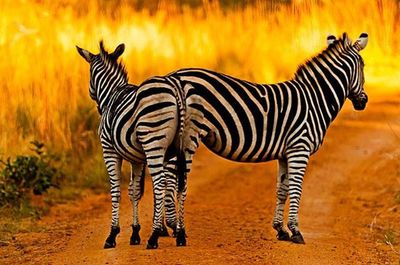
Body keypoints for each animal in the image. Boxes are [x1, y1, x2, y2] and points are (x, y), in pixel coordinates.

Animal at [76, 40, 186, 248]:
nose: (98, 108)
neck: (112, 93)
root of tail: (175, 94)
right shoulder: (137, 159)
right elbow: (135, 191)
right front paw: (135, 233)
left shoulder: (109, 150)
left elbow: (116, 190)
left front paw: (112, 234)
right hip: (177, 147)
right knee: (176, 183)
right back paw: (179, 232)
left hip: (154, 144)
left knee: (161, 184)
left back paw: (155, 236)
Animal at [157, 32, 368, 244]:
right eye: (363, 66)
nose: (363, 102)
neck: (314, 100)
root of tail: (174, 77)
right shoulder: (299, 148)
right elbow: (296, 189)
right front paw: (295, 231)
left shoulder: (285, 153)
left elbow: (282, 190)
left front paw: (281, 230)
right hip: (188, 137)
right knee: (173, 178)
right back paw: (175, 227)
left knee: (165, 175)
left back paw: (164, 228)